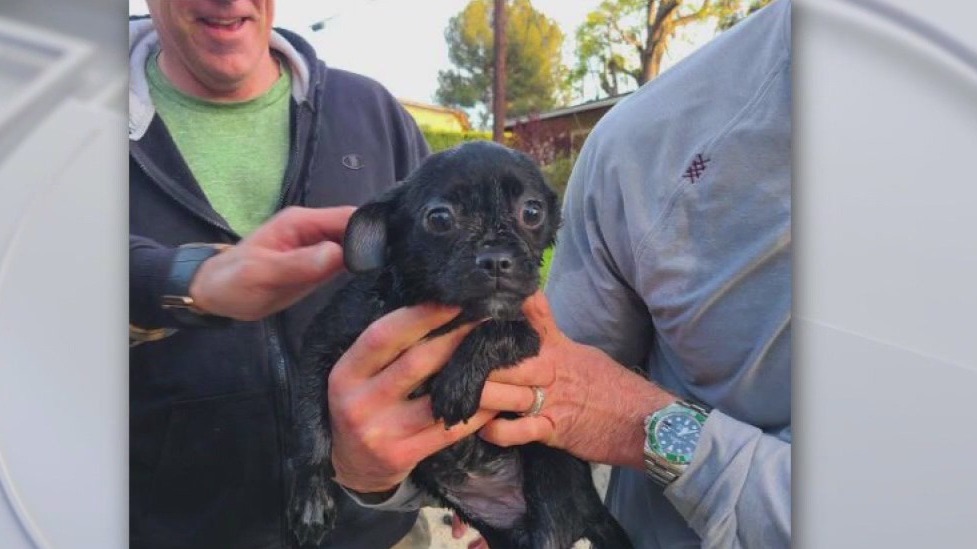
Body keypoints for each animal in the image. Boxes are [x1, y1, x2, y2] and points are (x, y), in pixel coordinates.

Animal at [288, 142, 632, 548]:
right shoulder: (323, 343)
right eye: (439, 219)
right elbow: (310, 424)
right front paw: (311, 499)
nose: (497, 260)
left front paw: (457, 383)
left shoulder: (528, 334)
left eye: (532, 212)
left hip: (550, 482)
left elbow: (495, 330)